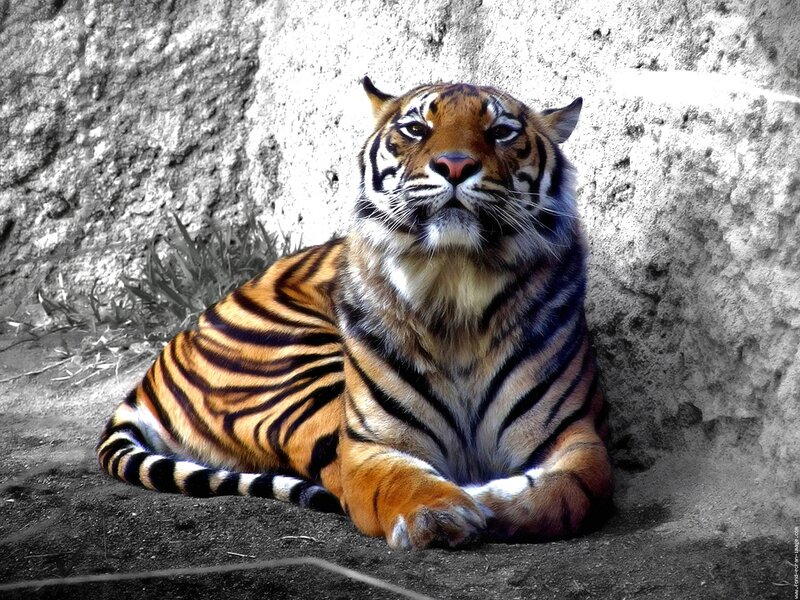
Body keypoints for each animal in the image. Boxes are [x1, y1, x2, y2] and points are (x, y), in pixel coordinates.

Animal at [96, 77, 612, 549]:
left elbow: (567, 495)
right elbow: (400, 481)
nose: (455, 165)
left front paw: (485, 501)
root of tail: (155, 365)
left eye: (501, 131)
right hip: (306, 374)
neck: (455, 286)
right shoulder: (371, 446)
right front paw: (439, 512)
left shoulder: (575, 437)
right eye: (416, 128)